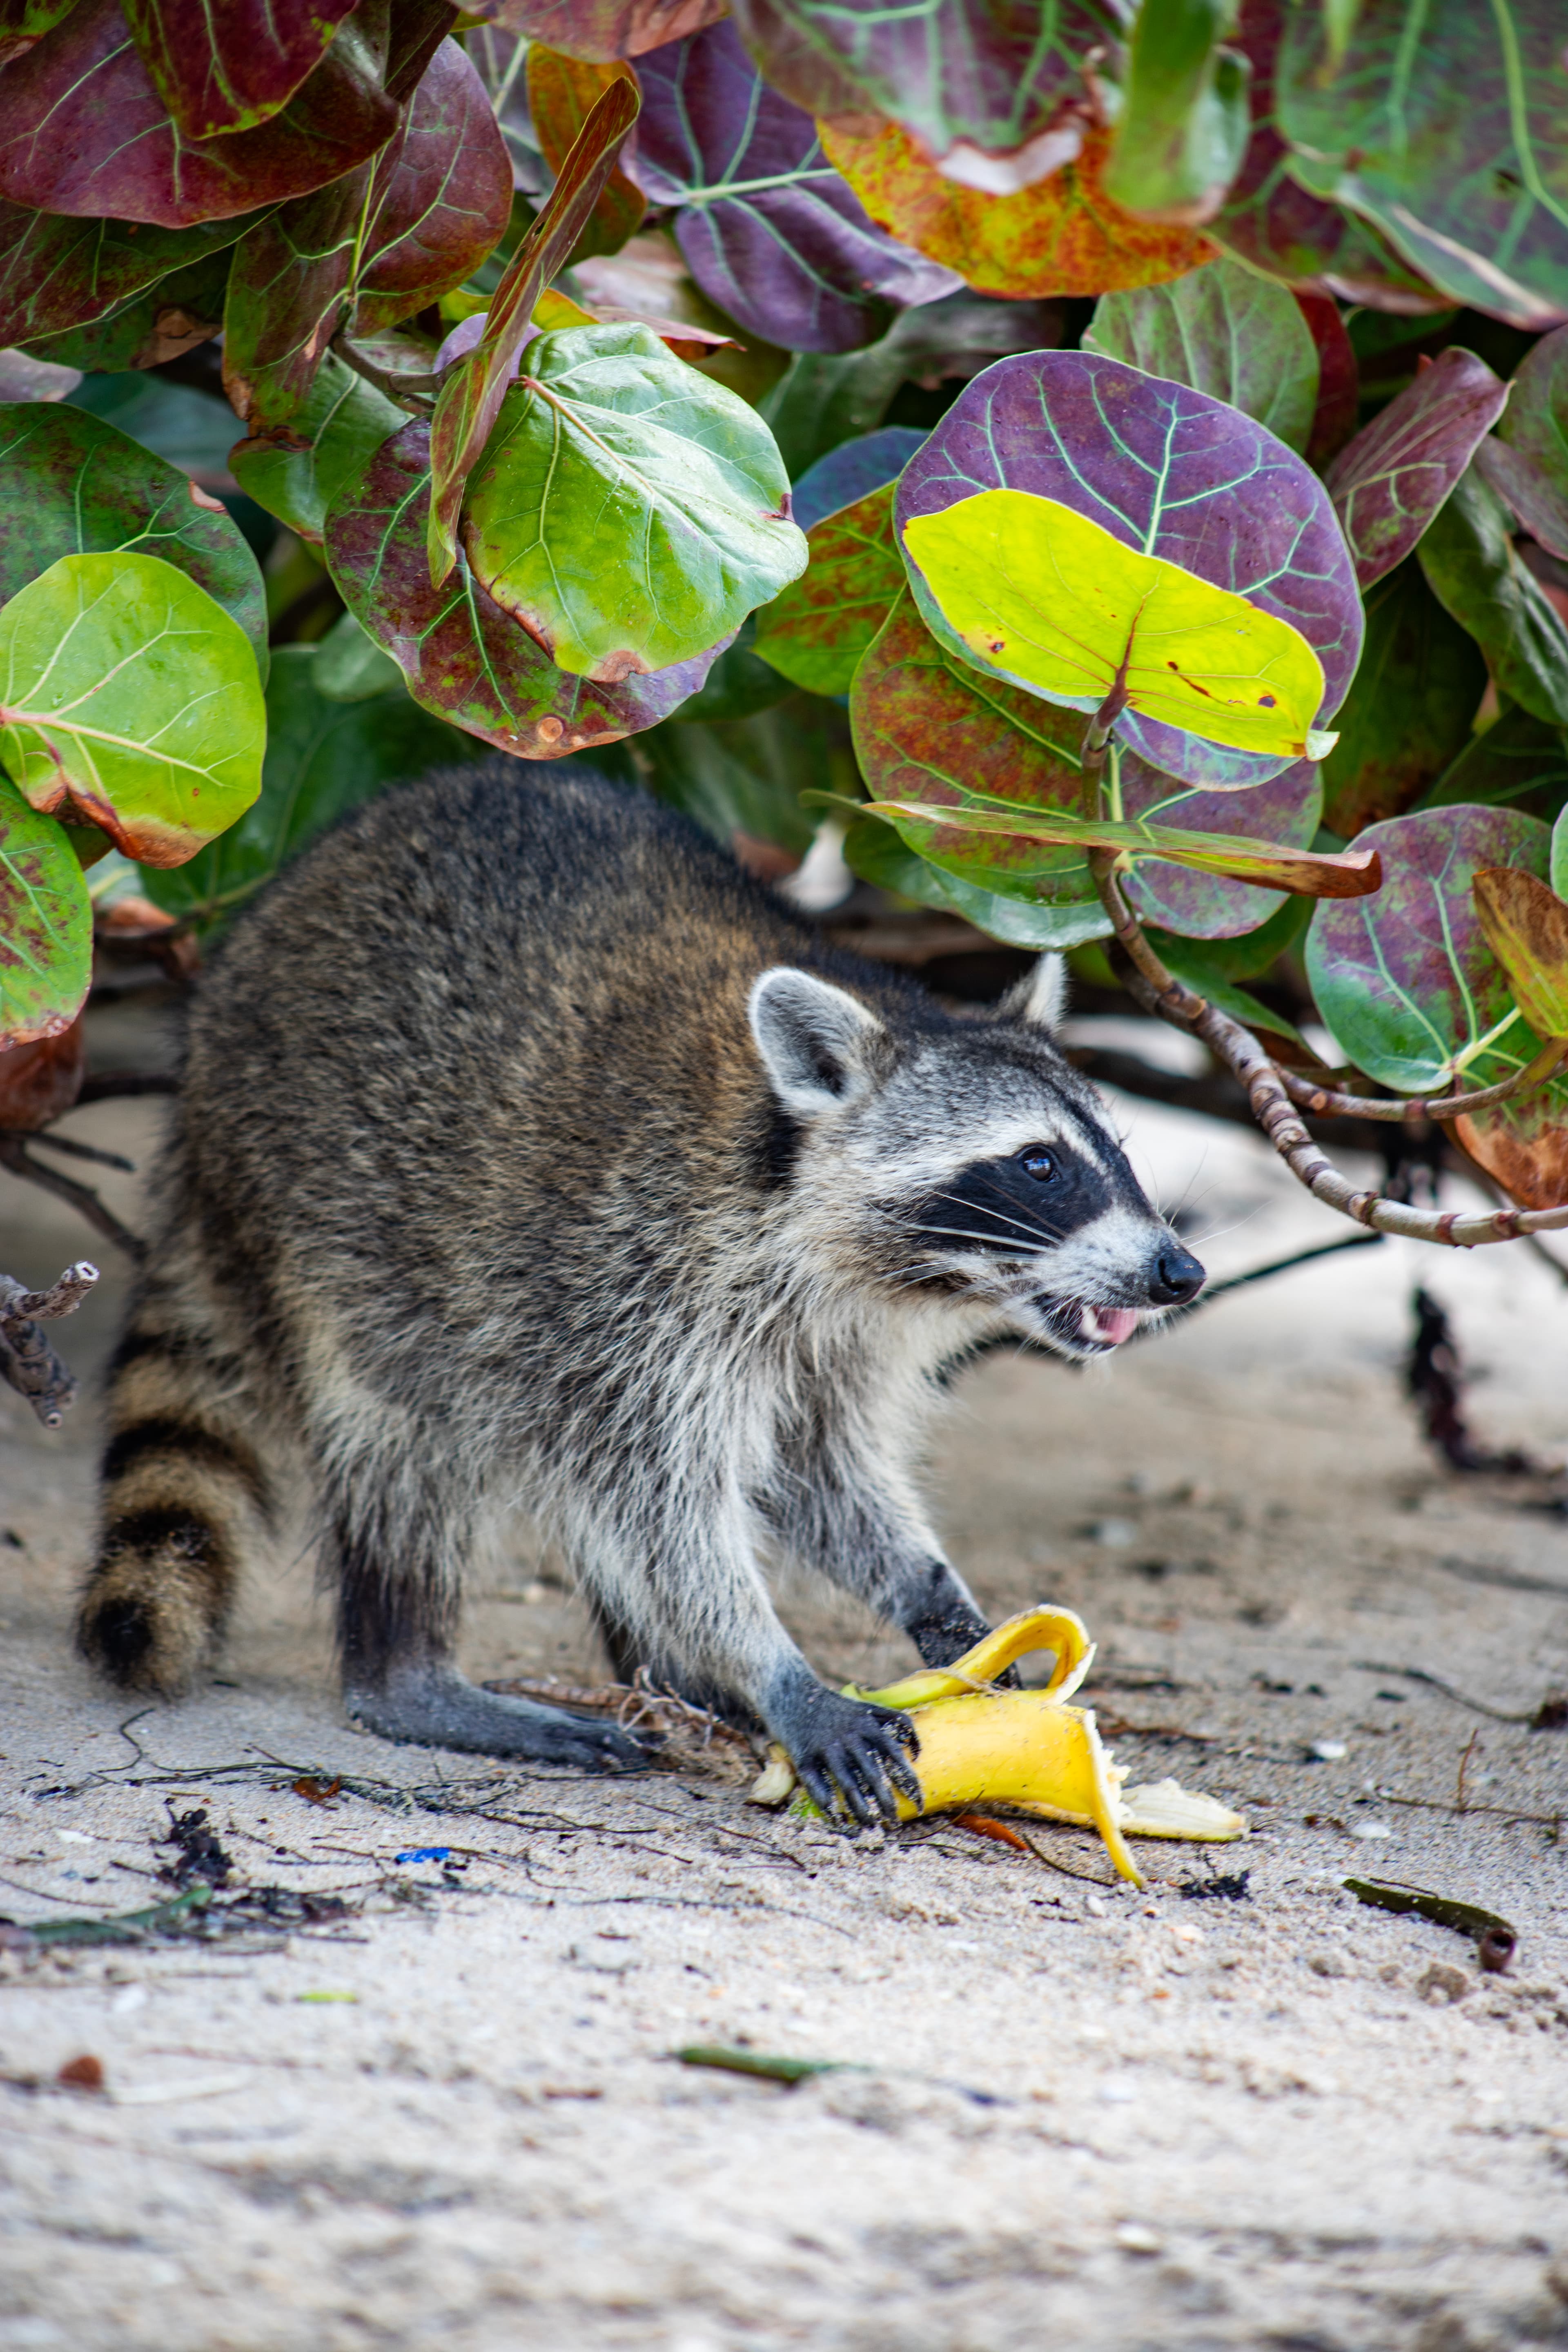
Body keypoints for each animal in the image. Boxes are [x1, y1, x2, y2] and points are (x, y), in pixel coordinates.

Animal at [78, 762, 1202, 1825]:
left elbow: (820, 1472)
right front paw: (775, 1667)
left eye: (1113, 1151)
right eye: (1039, 1165)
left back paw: (662, 1675)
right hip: (323, 1223)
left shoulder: (830, 1339)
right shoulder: (624, 1287)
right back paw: (412, 1673)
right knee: (406, 1443)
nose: (1178, 1271)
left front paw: (928, 1590)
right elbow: (658, 1505)